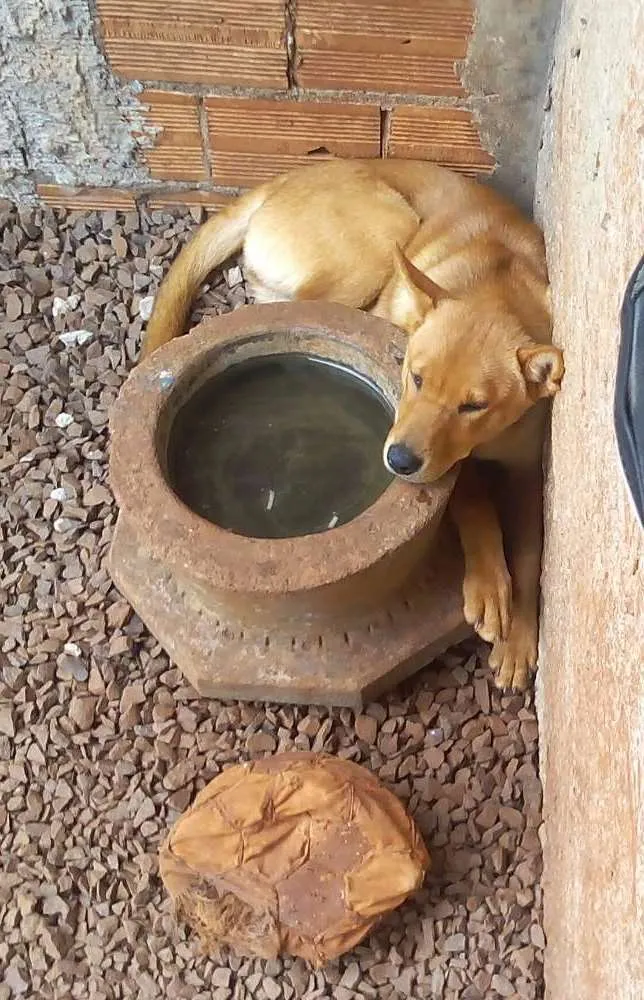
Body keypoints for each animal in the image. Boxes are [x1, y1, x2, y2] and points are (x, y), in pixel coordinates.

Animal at [142, 160, 564, 692]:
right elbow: (471, 499)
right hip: (385, 234)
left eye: (474, 406)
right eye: (415, 377)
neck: (497, 284)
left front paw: (522, 635)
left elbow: (532, 553)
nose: (398, 461)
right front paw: (489, 582)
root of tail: (284, 180)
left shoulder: (527, 474)